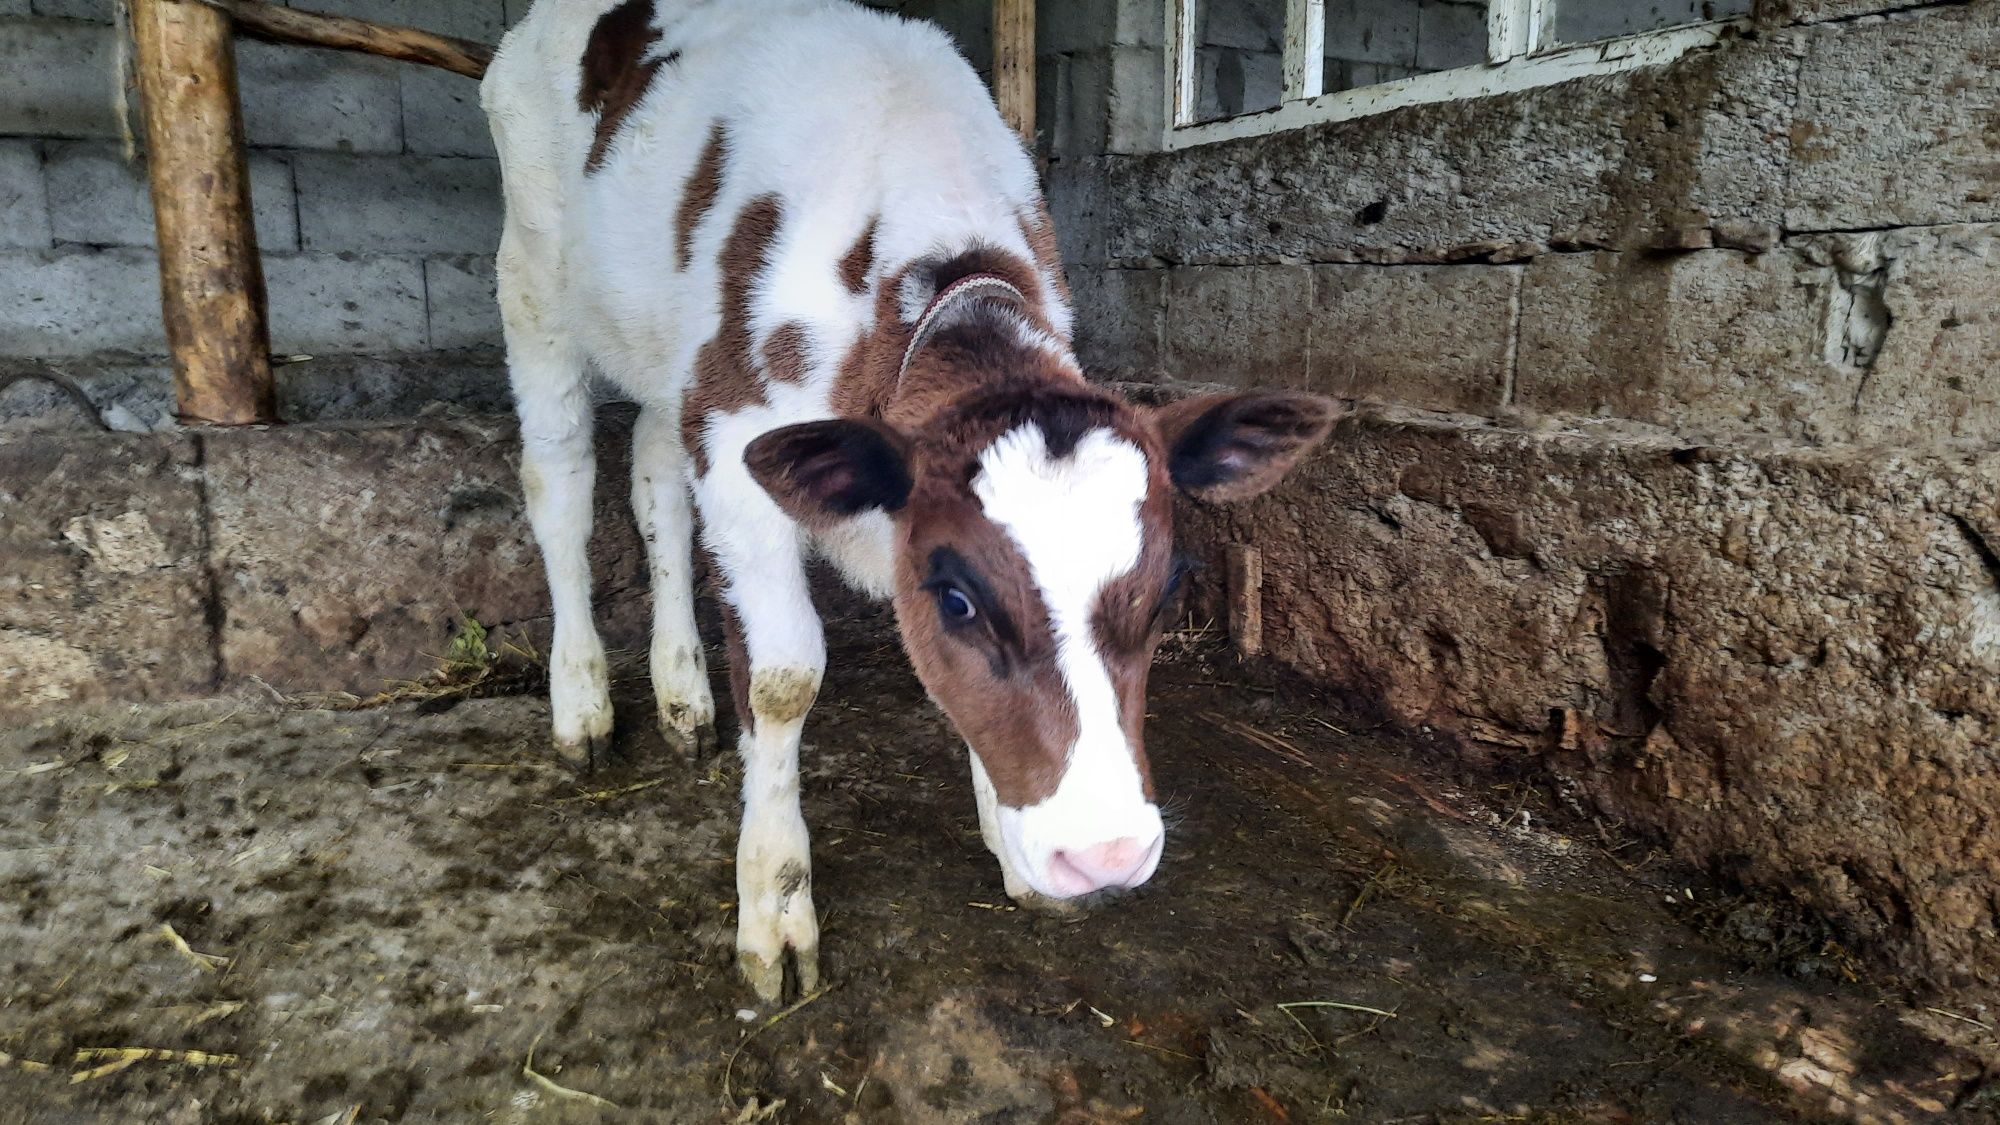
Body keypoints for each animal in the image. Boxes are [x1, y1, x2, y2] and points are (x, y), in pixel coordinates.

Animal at [480, 0, 1344, 996]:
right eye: (958, 598)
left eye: (1168, 594)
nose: (1105, 856)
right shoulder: (737, 438)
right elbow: (783, 680)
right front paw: (775, 908)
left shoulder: (716, 407)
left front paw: (1013, 846)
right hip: (533, 288)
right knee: (562, 484)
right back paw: (582, 702)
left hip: (666, 359)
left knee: (655, 483)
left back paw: (682, 693)